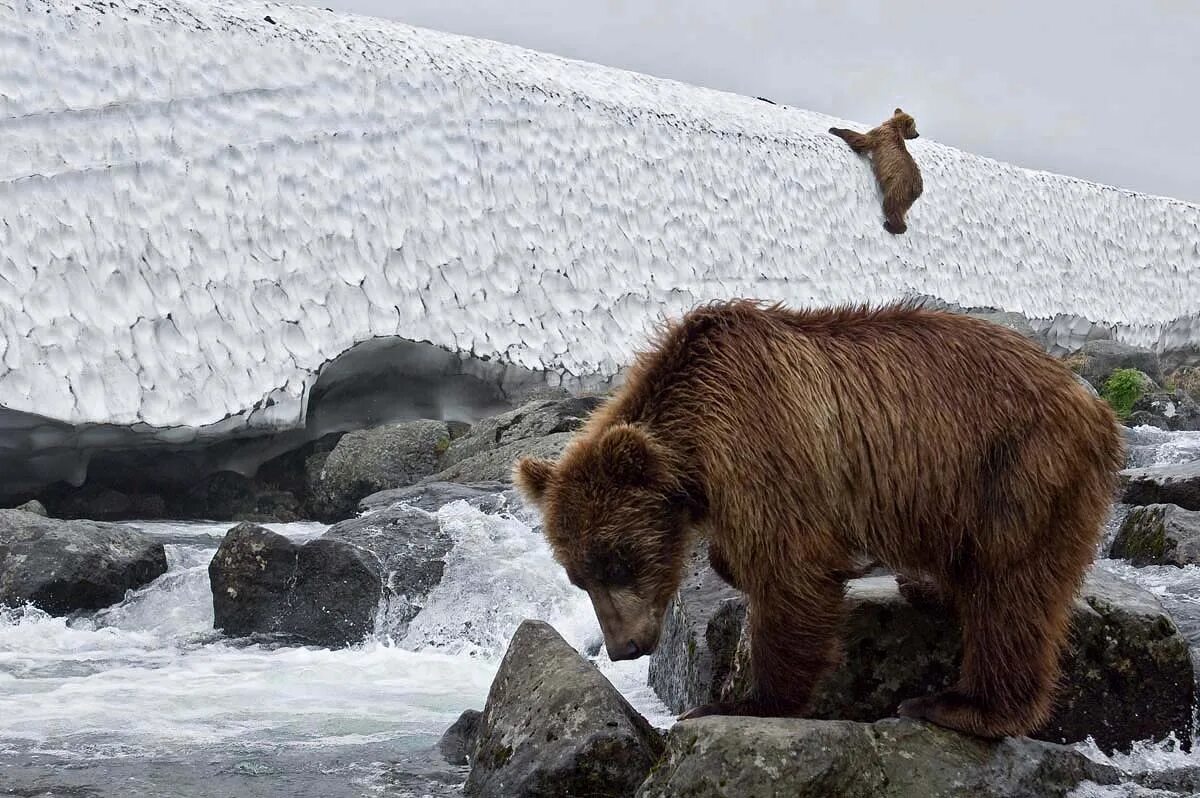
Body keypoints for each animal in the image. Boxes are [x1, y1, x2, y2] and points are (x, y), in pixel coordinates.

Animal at [516, 300, 1123, 739]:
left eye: (617, 561)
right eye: (578, 576)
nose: (623, 647)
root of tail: (1091, 400)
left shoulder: (766, 437)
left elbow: (792, 572)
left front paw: (744, 703)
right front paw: (729, 565)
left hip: (1016, 466)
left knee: (1012, 589)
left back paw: (962, 705)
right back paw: (926, 586)